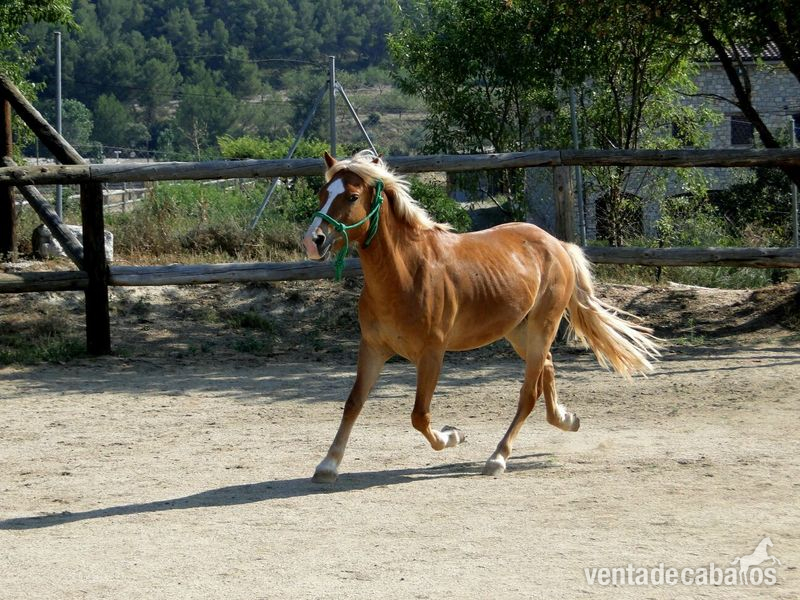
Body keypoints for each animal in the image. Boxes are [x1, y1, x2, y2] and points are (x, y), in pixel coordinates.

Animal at [303, 150, 660, 483]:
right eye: (322, 193)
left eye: (351, 196)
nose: (313, 241)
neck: (405, 273)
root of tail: (557, 243)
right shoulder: (373, 348)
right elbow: (353, 403)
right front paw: (327, 465)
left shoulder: (432, 354)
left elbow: (420, 415)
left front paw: (453, 435)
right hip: (518, 330)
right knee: (546, 367)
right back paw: (566, 420)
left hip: (543, 324)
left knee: (528, 393)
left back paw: (498, 458)